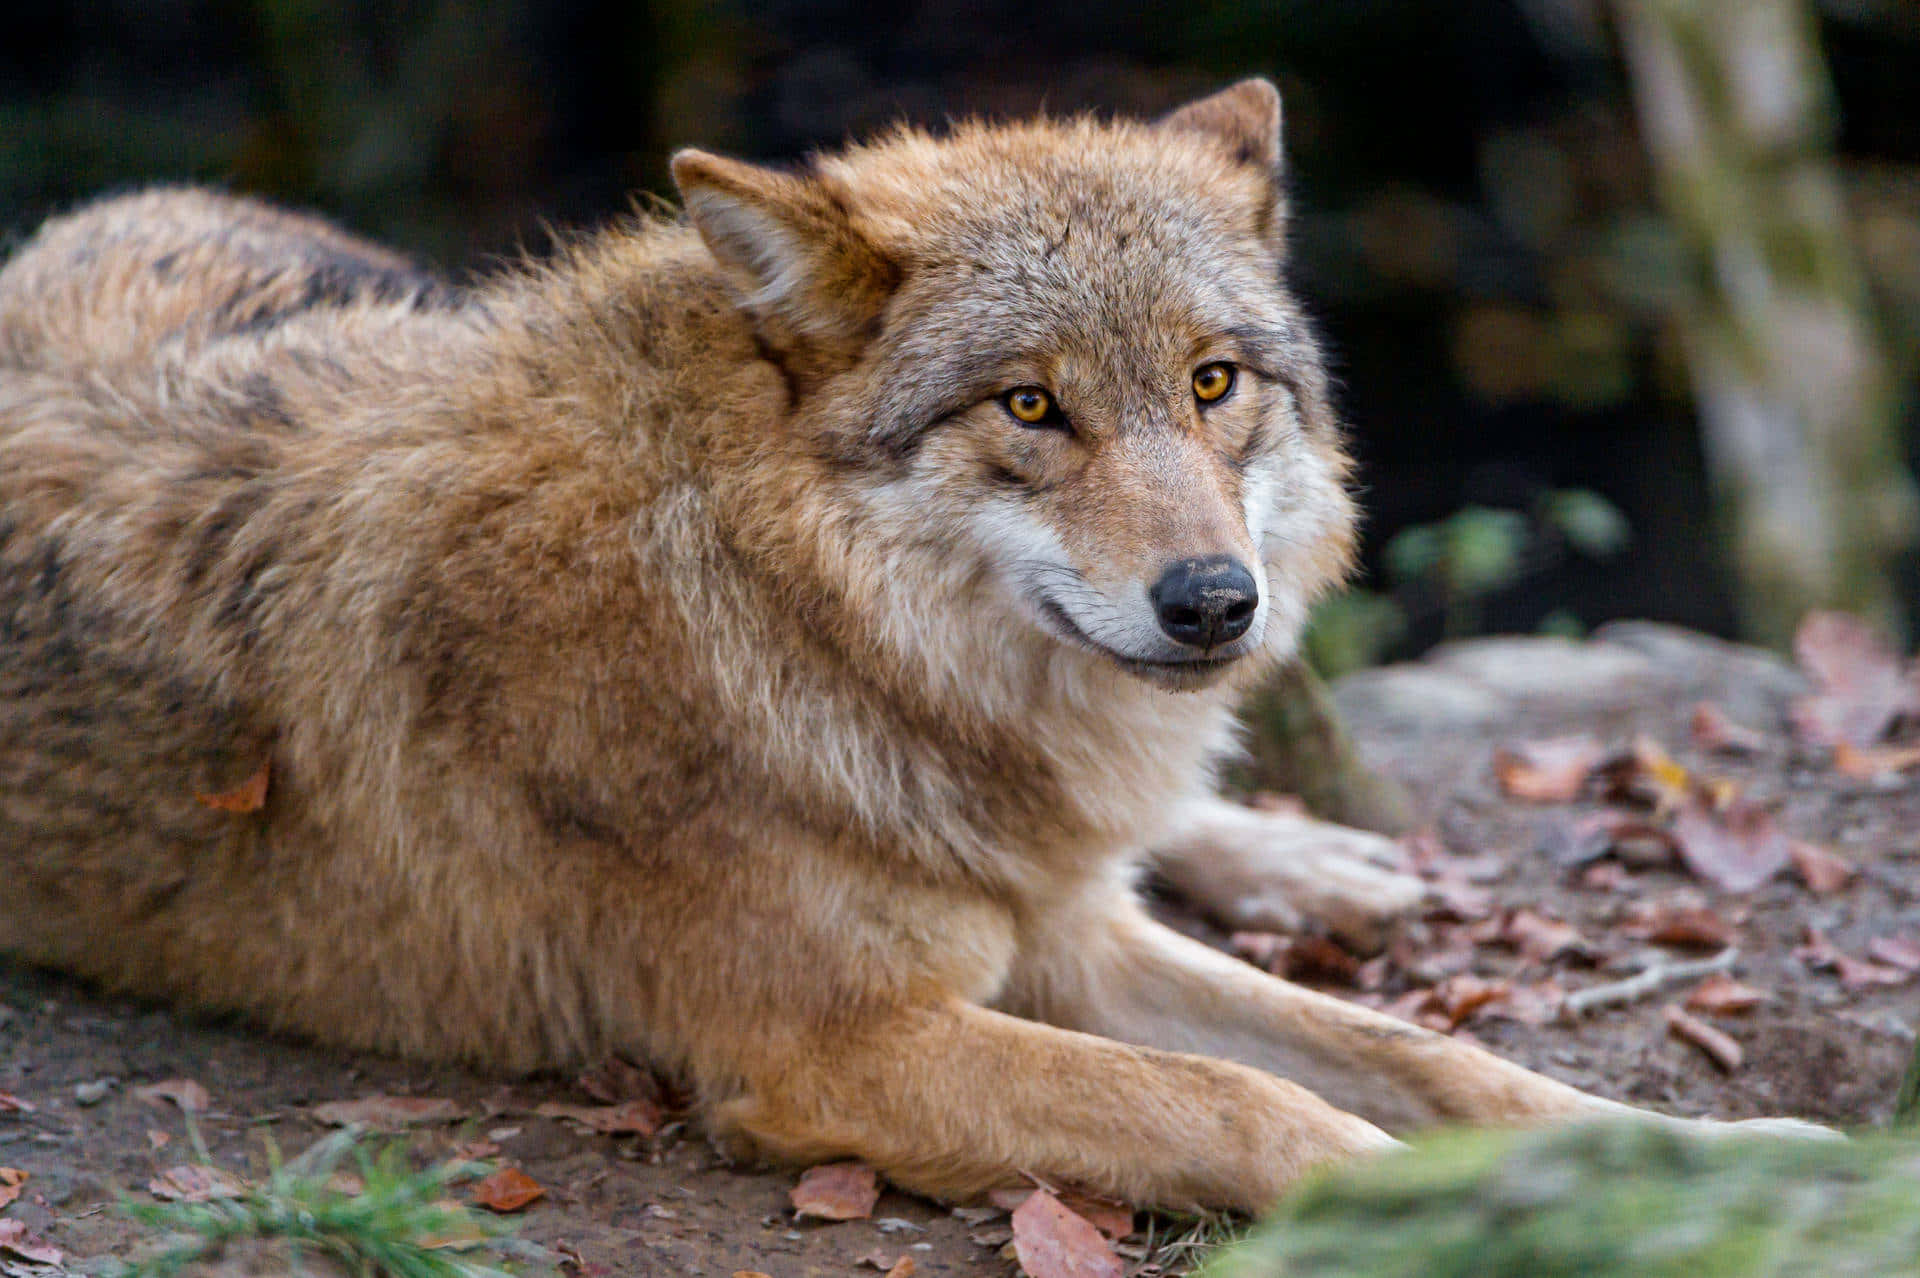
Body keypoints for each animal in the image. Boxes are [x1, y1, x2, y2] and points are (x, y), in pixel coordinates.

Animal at [0, 80, 1811, 1213]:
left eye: (1213, 382)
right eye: (1031, 406)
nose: (1215, 602)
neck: (771, 607)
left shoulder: (1054, 937)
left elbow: (1430, 1054)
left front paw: (1716, 1158)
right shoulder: (844, 1048)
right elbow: (1241, 1099)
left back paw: (1326, 865)